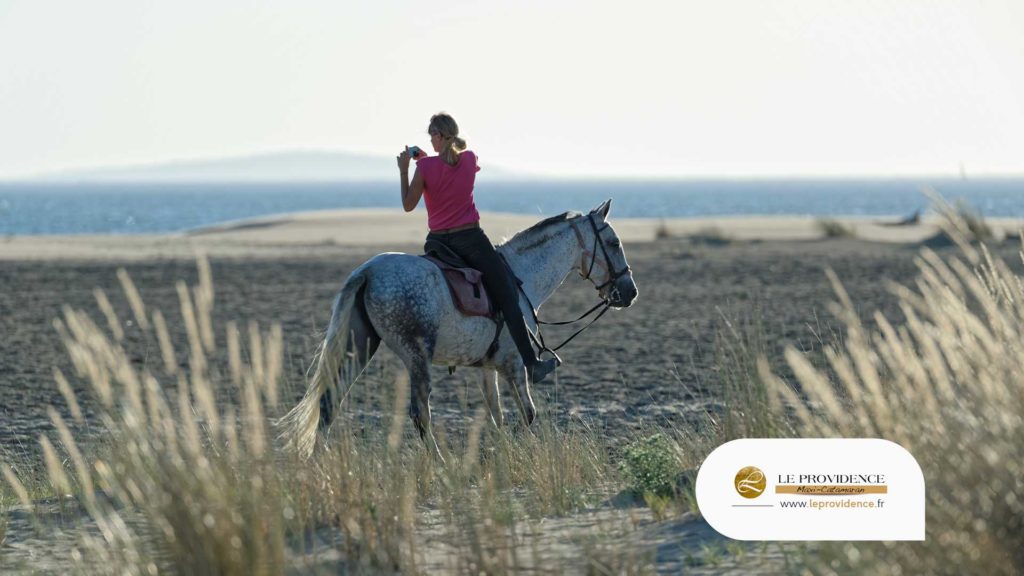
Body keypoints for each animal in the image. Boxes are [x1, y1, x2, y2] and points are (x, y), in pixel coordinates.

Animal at [278, 196, 630, 453]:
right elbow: (527, 412)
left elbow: (496, 414)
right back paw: (440, 462)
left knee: (329, 402)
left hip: (359, 347)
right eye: (614, 243)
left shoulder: (488, 368)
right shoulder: (515, 364)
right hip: (416, 355)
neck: (521, 276)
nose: (630, 292)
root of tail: (367, 272)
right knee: (420, 412)